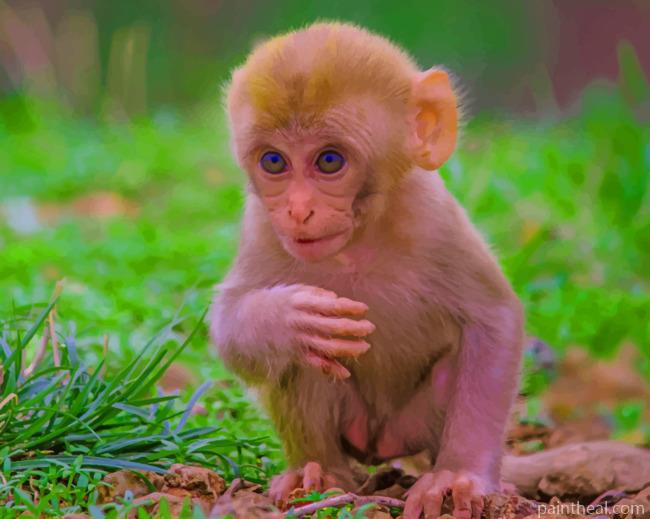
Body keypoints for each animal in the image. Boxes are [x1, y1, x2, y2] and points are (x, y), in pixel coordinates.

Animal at [209, 22, 524, 519]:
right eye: (274, 161)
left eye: (329, 161)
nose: (298, 211)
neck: (357, 242)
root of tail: (381, 444)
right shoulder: (262, 225)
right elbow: (231, 328)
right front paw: (288, 320)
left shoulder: (433, 216)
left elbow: (494, 320)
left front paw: (459, 475)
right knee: (306, 361)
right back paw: (319, 474)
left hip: (413, 423)